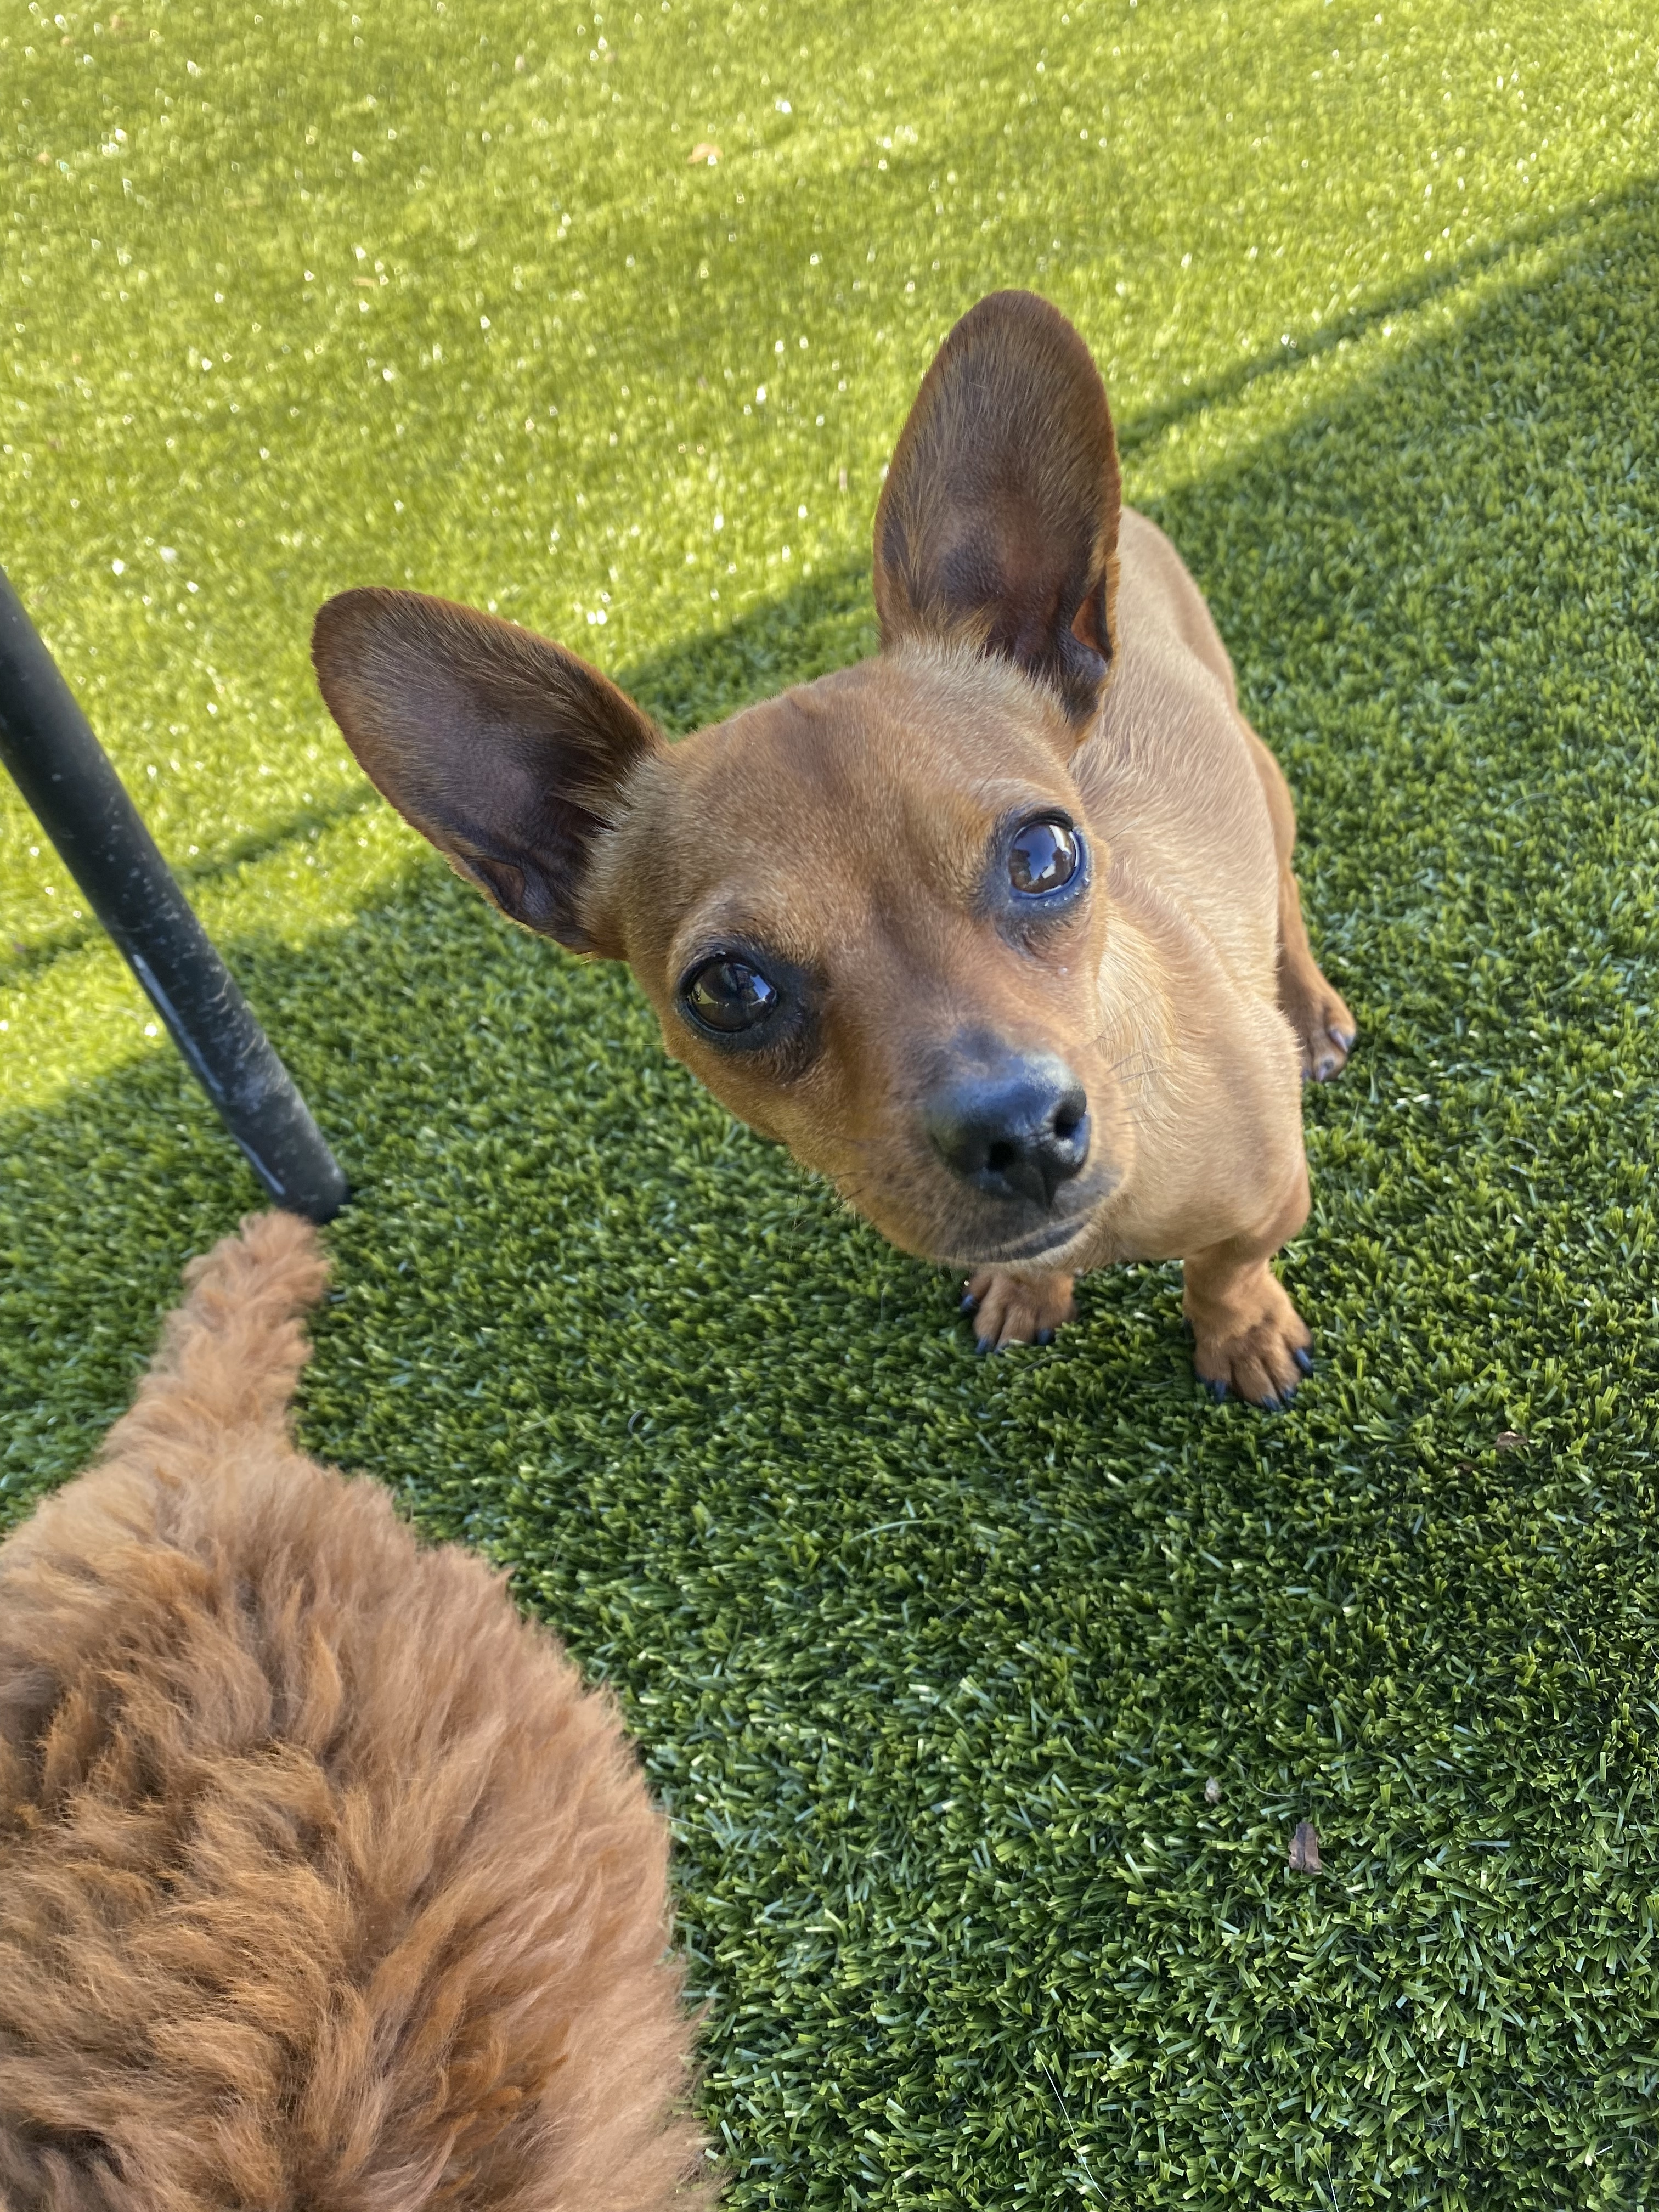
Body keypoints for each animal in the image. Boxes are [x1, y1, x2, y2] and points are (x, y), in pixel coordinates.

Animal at [312, 290, 1353, 1398]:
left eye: (1045, 857)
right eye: (728, 989)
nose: (1018, 1129)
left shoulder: (1272, 1197)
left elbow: (1224, 1270)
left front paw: (1240, 1334)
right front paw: (1030, 1292)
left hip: (1265, 784)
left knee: (1283, 900)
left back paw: (1308, 1013)